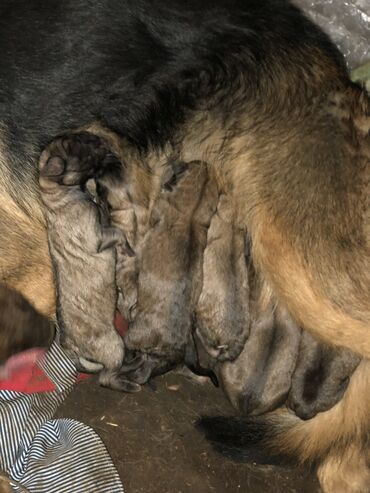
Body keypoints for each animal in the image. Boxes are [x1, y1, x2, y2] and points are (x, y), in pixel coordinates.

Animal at [38, 132, 140, 392]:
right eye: (81, 150)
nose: (98, 138)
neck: (59, 194)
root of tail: (71, 347)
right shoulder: (98, 237)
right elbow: (118, 232)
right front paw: (128, 249)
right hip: (113, 344)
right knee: (106, 378)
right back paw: (127, 383)